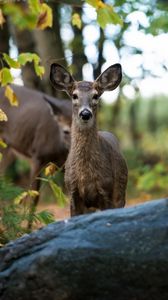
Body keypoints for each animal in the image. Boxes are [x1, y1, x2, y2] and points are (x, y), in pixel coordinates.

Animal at [49, 62, 127, 216]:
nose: (85, 113)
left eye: (95, 96)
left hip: (120, 194)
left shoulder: (106, 190)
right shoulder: (73, 192)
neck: (85, 176)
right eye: (74, 95)